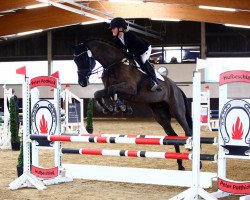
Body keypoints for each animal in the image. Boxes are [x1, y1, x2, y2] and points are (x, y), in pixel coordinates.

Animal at [73, 38, 192, 170]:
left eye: (84, 59)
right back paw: (180, 165)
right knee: (174, 136)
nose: (82, 82)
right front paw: (112, 108)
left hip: (177, 111)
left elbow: (111, 90)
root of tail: (177, 88)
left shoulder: (130, 88)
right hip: (161, 115)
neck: (113, 64)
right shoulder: (111, 89)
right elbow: (100, 93)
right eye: (75, 61)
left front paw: (120, 107)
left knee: (187, 132)